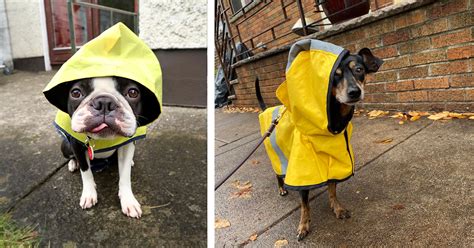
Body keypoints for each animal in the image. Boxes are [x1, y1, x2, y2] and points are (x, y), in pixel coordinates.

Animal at [60, 76, 148, 218]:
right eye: (76, 93)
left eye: (133, 93)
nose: (104, 102)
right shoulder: (76, 144)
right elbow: (86, 171)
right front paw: (89, 194)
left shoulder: (127, 145)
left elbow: (125, 174)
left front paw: (128, 200)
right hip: (66, 146)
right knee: (72, 157)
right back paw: (73, 163)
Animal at [258, 39, 384, 240]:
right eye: (335, 76)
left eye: (359, 70)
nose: (354, 92)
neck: (333, 123)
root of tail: (266, 110)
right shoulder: (302, 170)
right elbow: (305, 205)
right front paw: (303, 225)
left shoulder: (335, 159)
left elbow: (332, 189)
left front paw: (337, 208)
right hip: (277, 155)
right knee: (278, 174)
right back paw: (281, 188)